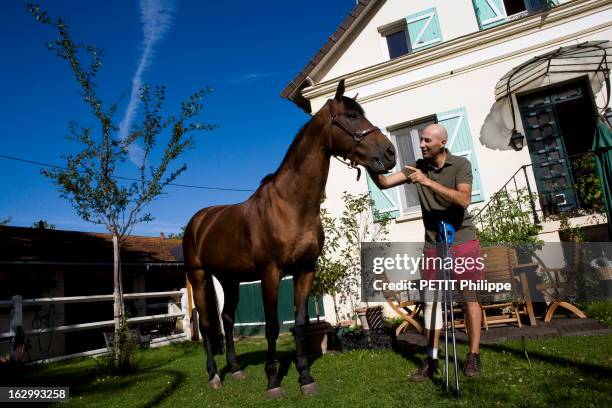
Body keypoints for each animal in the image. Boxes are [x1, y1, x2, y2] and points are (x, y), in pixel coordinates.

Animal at [182, 80, 396, 398]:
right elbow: (272, 325)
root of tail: (198, 221)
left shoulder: (305, 270)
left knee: (227, 319)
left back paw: (235, 369)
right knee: (208, 325)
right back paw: (214, 376)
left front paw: (305, 377)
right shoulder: (271, 273)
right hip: (198, 277)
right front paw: (273, 381)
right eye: (351, 116)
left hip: (229, 280)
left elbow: (301, 324)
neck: (291, 206)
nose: (390, 152)